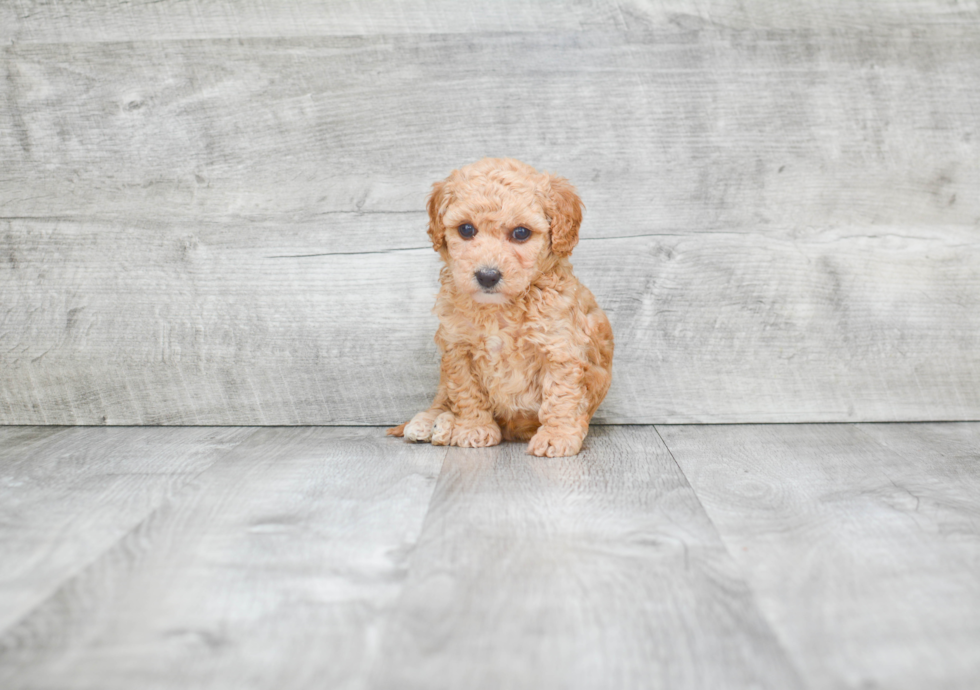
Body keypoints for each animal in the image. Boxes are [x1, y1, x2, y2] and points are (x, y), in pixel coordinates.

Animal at [388, 158, 612, 454]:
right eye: (466, 229)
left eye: (521, 233)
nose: (487, 275)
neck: (500, 309)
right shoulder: (457, 348)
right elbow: (466, 393)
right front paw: (475, 428)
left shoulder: (560, 349)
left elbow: (561, 396)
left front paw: (556, 436)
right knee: (442, 399)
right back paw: (429, 423)